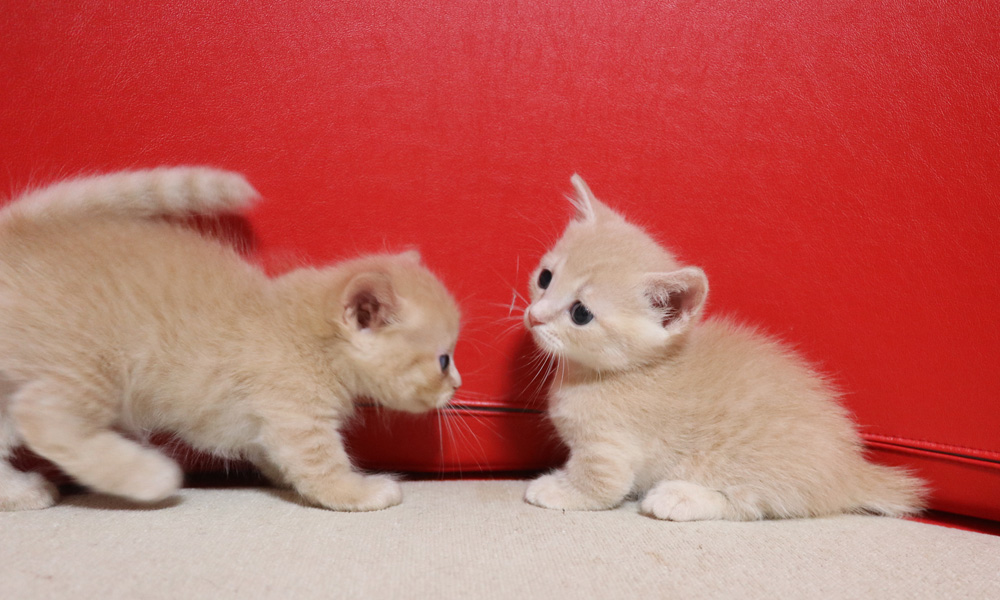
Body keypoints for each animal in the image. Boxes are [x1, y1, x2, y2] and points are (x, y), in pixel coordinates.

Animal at [0, 168, 460, 510]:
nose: (457, 385)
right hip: (91, 363)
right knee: (45, 417)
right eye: (443, 360)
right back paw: (150, 477)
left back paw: (20, 492)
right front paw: (362, 490)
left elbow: (273, 455)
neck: (303, 333)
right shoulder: (295, 415)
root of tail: (16, 239)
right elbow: (320, 465)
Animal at [528, 175, 924, 520]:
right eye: (545, 278)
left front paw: (555, 490)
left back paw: (678, 497)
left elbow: (599, 485)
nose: (533, 316)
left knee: (749, 504)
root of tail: (850, 469)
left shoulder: (608, 447)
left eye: (581, 313)